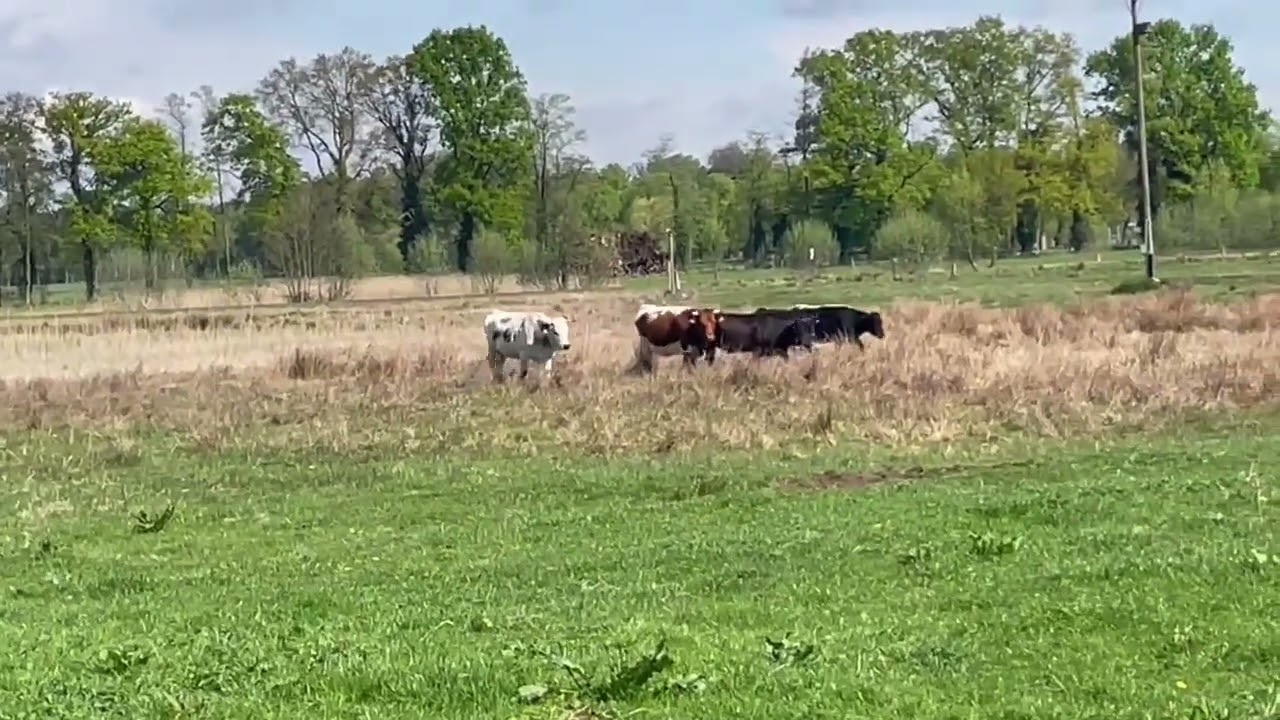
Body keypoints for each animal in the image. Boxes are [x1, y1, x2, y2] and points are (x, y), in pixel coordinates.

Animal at [755, 304, 885, 349]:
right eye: (876, 322)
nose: (882, 335)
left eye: (881, 322)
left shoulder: (839, 339)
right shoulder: (851, 337)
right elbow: (861, 346)